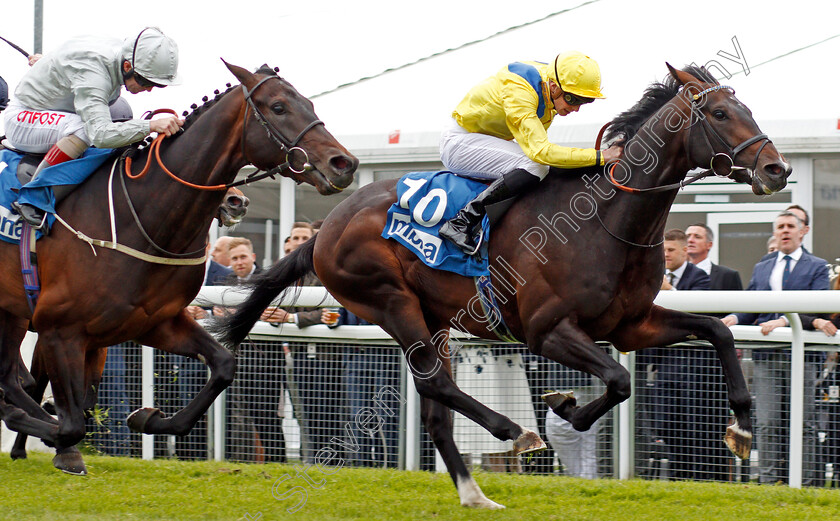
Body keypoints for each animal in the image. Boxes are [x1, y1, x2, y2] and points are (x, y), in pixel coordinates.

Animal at [0, 59, 358, 474]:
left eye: (310, 104)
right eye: (279, 106)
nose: (344, 163)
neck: (138, 217)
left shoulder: (152, 322)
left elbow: (223, 364)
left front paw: (148, 418)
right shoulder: (58, 328)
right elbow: (71, 421)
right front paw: (50, 437)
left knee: (15, 379)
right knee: (18, 381)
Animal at [215, 63, 788, 506]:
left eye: (748, 109)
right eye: (720, 114)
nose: (776, 169)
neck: (608, 221)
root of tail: (325, 227)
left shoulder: (631, 324)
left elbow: (717, 332)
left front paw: (740, 427)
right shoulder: (547, 331)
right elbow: (619, 381)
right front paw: (565, 409)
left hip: (432, 317)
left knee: (435, 409)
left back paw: (475, 493)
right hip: (390, 301)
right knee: (436, 386)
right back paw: (515, 431)